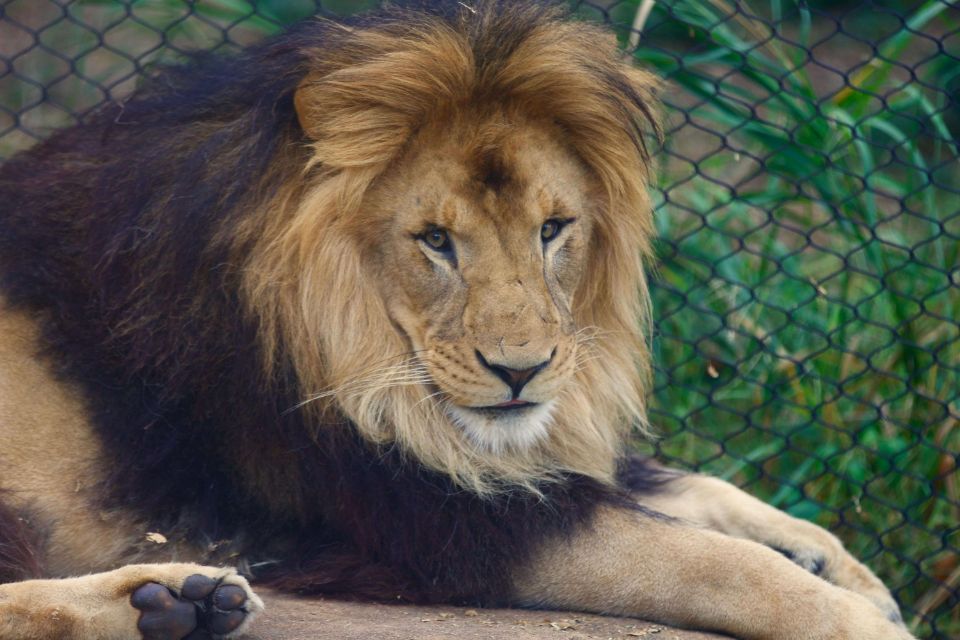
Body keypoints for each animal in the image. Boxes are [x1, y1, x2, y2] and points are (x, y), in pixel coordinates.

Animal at [0, 2, 914, 639]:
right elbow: (707, 561)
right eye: (435, 241)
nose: (522, 371)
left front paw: (839, 563)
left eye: (553, 229)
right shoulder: (422, 518)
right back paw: (163, 599)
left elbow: (684, 485)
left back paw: (181, 600)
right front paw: (853, 617)